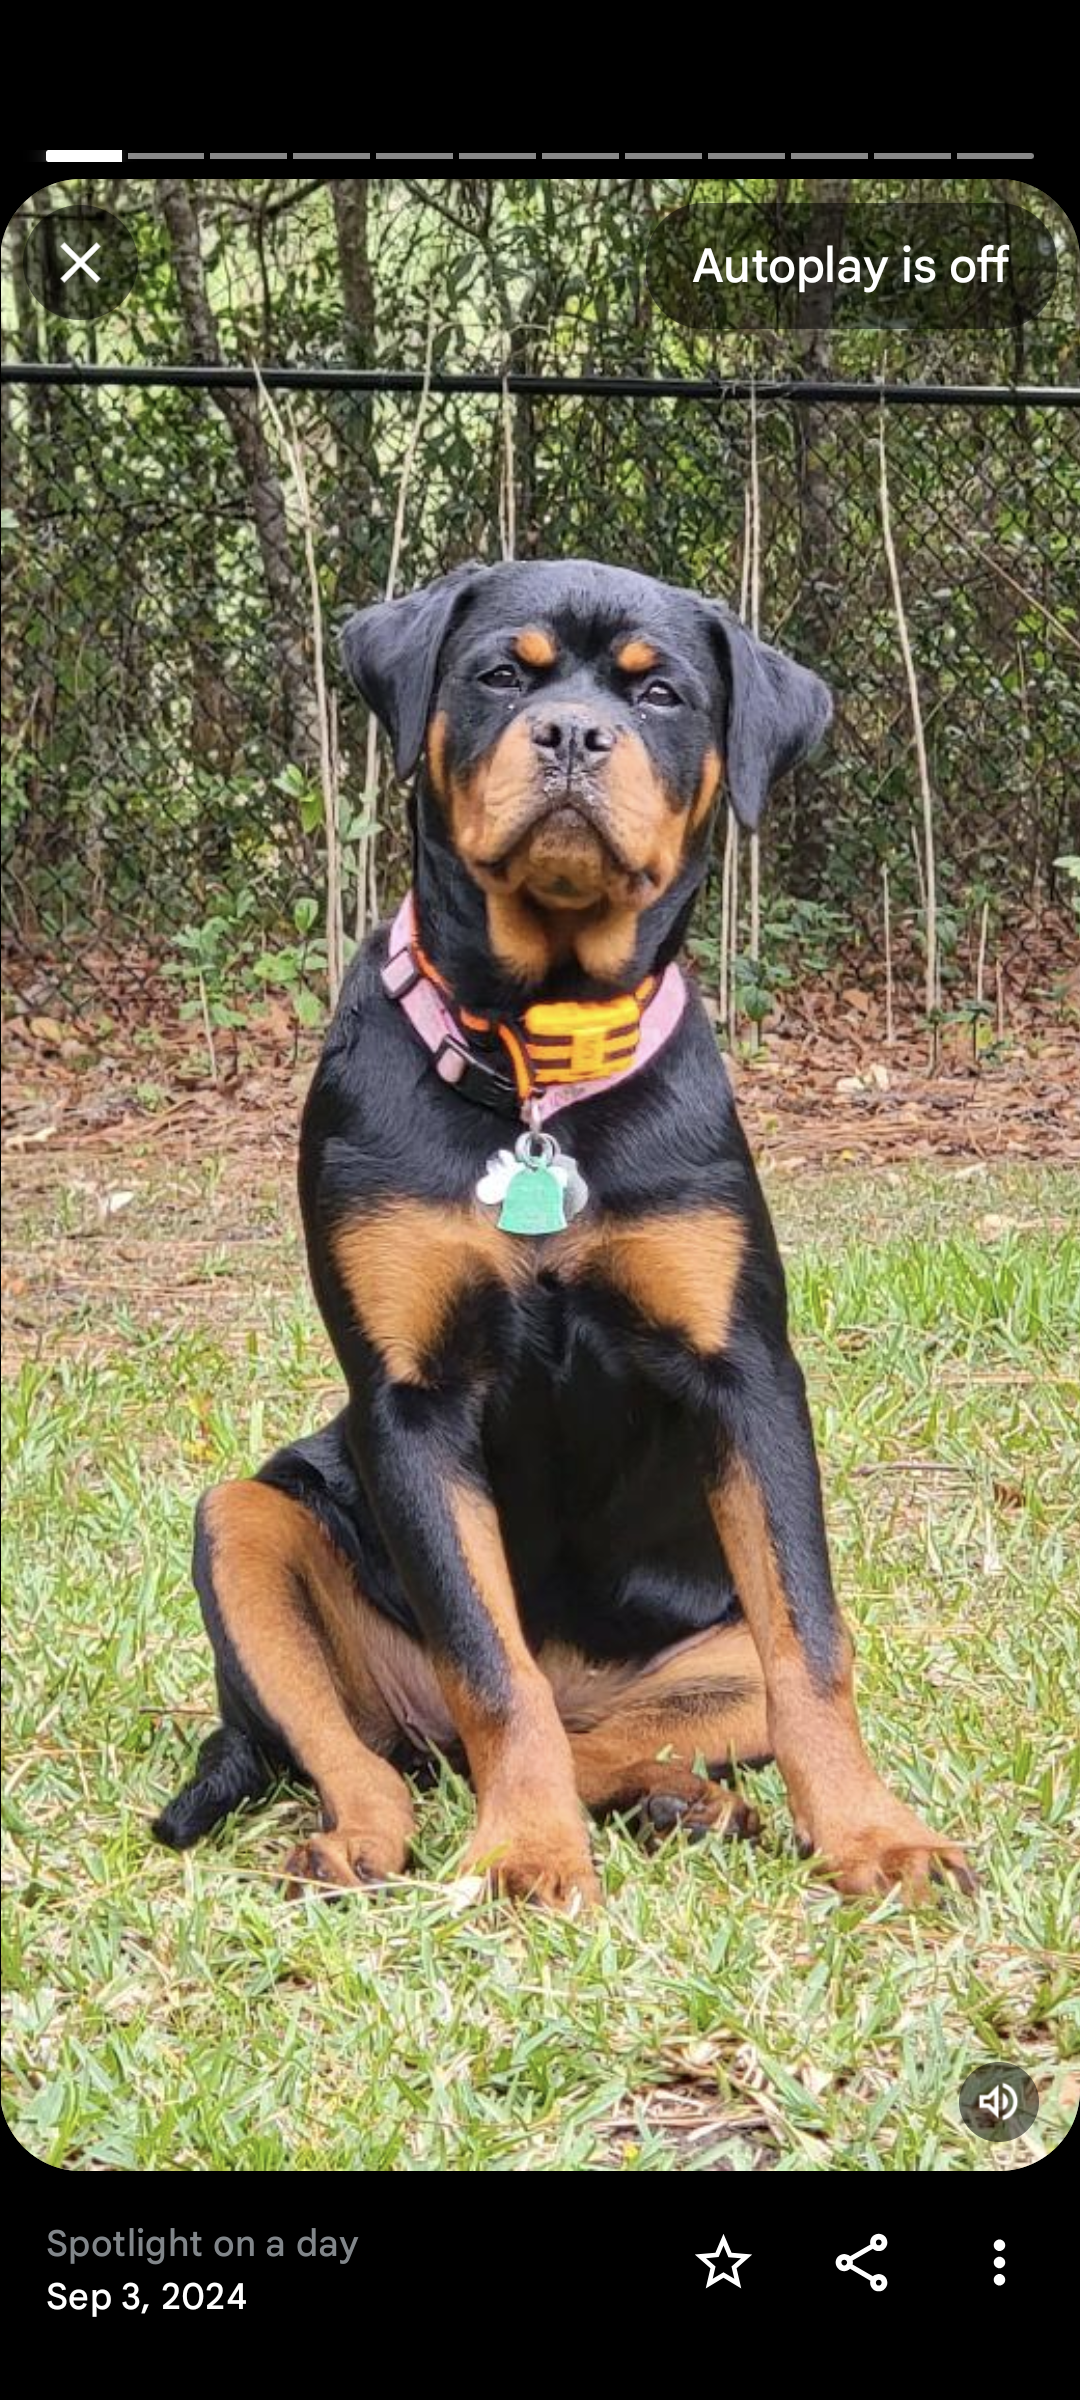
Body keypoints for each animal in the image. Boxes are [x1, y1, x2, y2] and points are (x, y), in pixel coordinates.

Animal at [156, 558, 973, 1908]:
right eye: (501, 673)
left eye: (661, 693)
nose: (576, 735)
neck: (537, 1067)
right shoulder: (409, 1403)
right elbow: (496, 1670)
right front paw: (527, 1853)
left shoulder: (746, 1372)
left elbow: (812, 1645)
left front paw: (872, 1835)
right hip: (247, 1521)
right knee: (391, 1748)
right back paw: (370, 1838)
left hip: (703, 1652)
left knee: (630, 1722)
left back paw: (686, 1802)